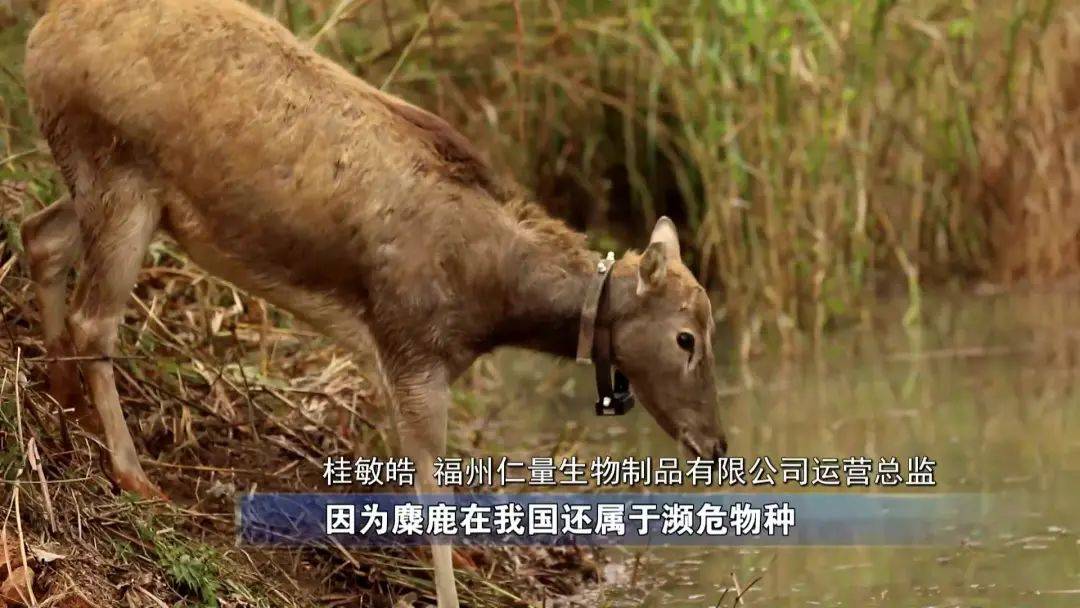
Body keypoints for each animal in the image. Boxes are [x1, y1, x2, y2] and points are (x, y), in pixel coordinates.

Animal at [19, 0, 725, 604]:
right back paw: (132, 473)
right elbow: (430, 484)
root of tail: (42, 31)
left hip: (102, 185)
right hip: (118, 172)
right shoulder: (414, 340)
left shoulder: (394, 351)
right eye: (687, 337)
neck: (493, 305)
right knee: (94, 318)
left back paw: (61, 395)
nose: (717, 446)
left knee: (40, 236)